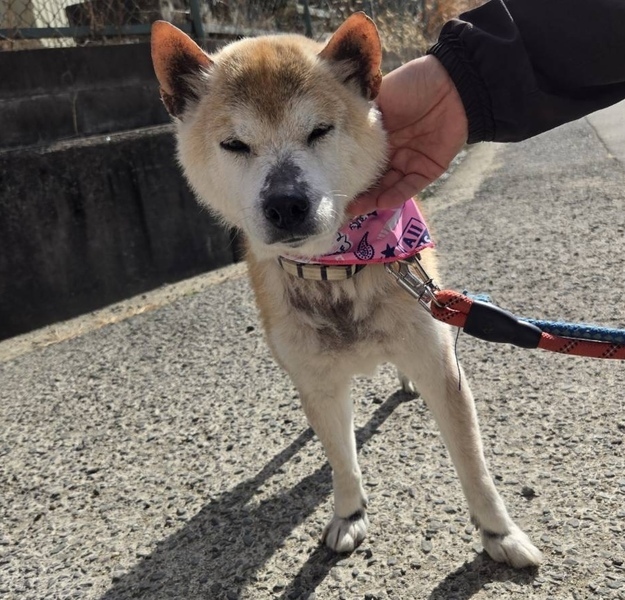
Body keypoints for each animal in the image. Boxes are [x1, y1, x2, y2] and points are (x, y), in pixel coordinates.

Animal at [150, 13, 542, 568]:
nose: (286, 203)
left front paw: (499, 534)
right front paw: (349, 514)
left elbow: (473, 465)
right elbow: (341, 459)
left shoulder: (440, 365)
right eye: (234, 144)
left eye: (319, 130)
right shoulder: (317, 382)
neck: (339, 267)